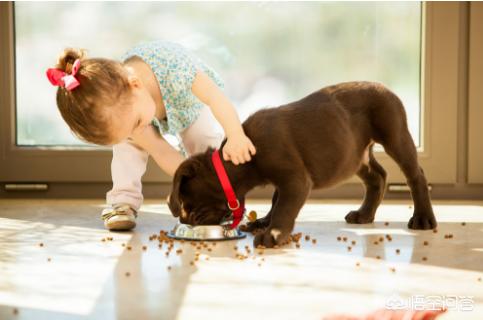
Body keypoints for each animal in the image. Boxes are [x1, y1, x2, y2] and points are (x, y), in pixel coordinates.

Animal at [167, 80, 438, 248]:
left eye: (187, 204)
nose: (186, 221)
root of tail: (385, 87)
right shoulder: (284, 181)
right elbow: (276, 201)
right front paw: (263, 222)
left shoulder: (294, 180)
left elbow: (284, 207)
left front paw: (273, 233)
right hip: (354, 155)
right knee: (377, 176)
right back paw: (364, 214)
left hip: (395, 134)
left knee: (415, 175)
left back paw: (423, 218)